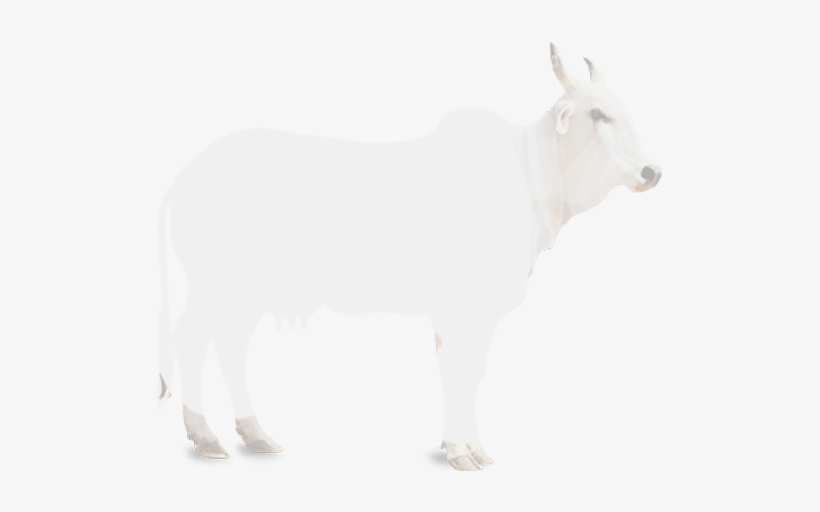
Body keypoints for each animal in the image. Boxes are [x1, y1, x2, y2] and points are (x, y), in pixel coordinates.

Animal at [157, 43, 662, 471]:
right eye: (597, 113)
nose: (650, 172)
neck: (531, 176)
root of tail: (185, 176)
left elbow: (465, 372)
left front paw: (468, 446)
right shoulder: (466, 306)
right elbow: (460, 371)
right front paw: (461, 450)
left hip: (246, 291)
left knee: (230, 344)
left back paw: (255, 434)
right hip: (216, 284)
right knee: (194, 341)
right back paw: (206, 437)